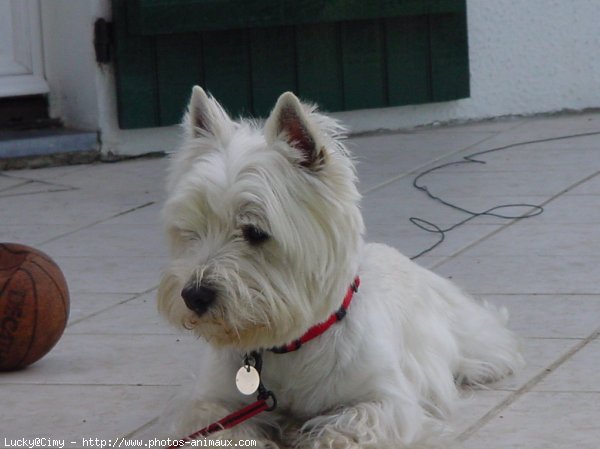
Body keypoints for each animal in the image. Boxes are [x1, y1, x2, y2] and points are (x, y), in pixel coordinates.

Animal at [156, 87, 524, 448]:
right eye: (191, 231)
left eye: (255, 232)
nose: (194, 296)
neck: (290, 347)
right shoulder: (214, 402)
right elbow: (216, 423)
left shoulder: (386, 398)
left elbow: (347, 427)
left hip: (467, 332)